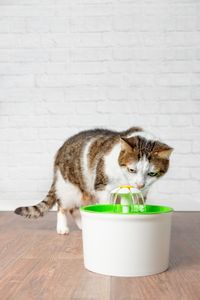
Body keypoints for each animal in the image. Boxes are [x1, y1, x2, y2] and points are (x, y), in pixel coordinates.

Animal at [14, 126, 173, 234]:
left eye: (151, 173)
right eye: (132, 170)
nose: (140, 184)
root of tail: (61, 148)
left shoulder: (141, 192)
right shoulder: (103, 187)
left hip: (83, 191)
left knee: (74, 209)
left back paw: (83, 225)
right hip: (68, 187)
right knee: (63, 206)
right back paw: (62, 227)